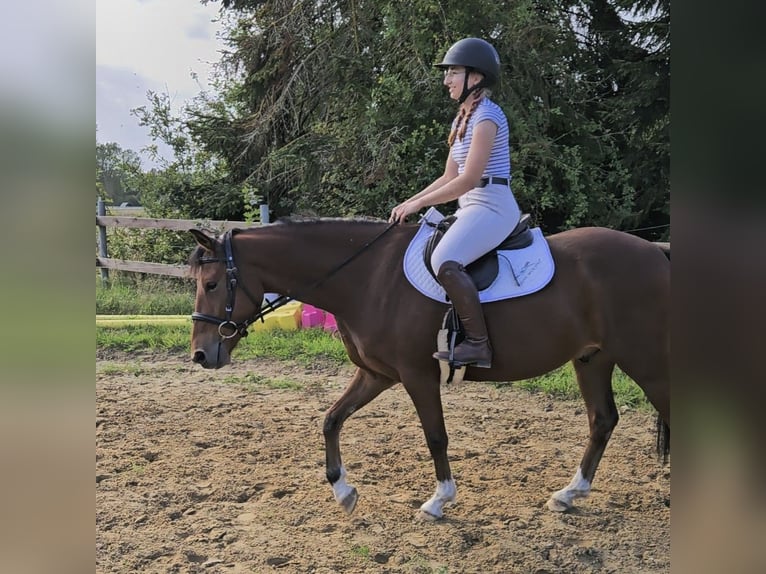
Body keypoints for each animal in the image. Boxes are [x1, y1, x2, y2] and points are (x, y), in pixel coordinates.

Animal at [188, 218, 670, 519]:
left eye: (211, 284)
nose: (200, 354)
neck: (367, 278)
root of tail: (655, 253)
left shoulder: (417, 377)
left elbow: (436, 436)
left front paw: (438, 501)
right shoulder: (376, 375)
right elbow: (331, 419)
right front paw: (343, 491)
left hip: (647, 363)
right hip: (593, 359)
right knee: (602, 420)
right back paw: (569, 494)